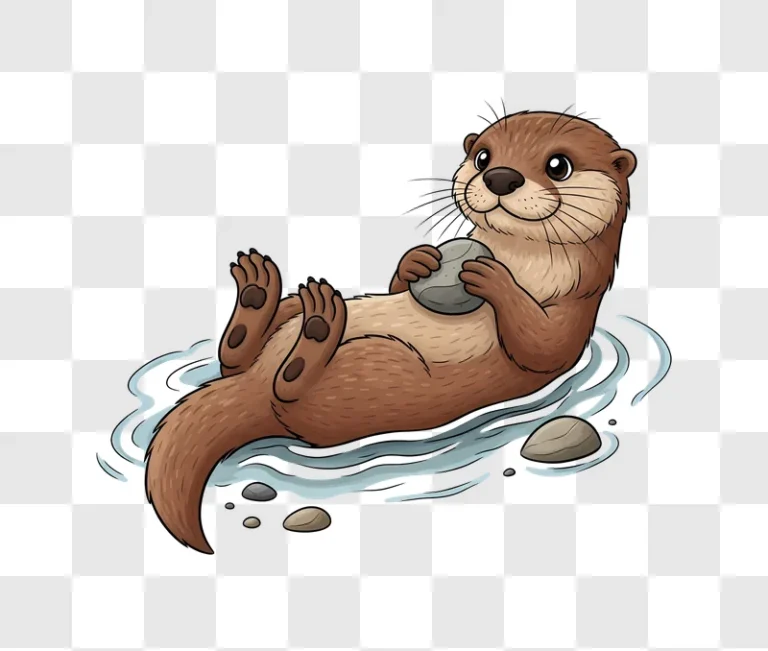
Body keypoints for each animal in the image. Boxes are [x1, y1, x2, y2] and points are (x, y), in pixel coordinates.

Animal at [145, 110, 637, 554]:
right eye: (482, 156)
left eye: (559, 165)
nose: (500, 177)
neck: (528, 265)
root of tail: (255, 389)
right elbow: (401, 282)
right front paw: (418, 260)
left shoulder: (575, 309)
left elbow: (541, 346)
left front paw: (492, 279)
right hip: (297, 327)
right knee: (240, 358)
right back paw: (259, 294)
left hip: (376, 376)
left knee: (287, 391)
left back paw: (316, 329)